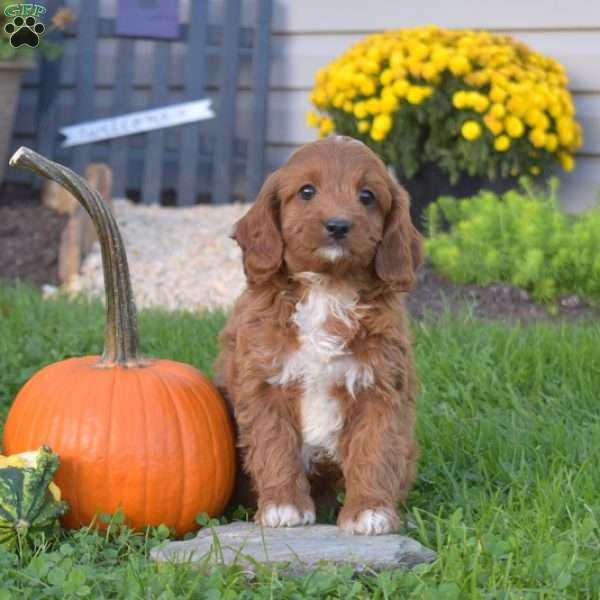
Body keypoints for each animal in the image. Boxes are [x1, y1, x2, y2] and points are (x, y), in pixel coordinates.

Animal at [213, 136, 424, 536]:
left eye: (367, 196)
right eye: (307, 191)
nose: (338, 225)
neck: (328, 287)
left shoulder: (380, 386)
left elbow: (375, 450)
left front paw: (369, 511)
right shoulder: (263, 382)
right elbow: (275, 445)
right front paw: (283, 506)